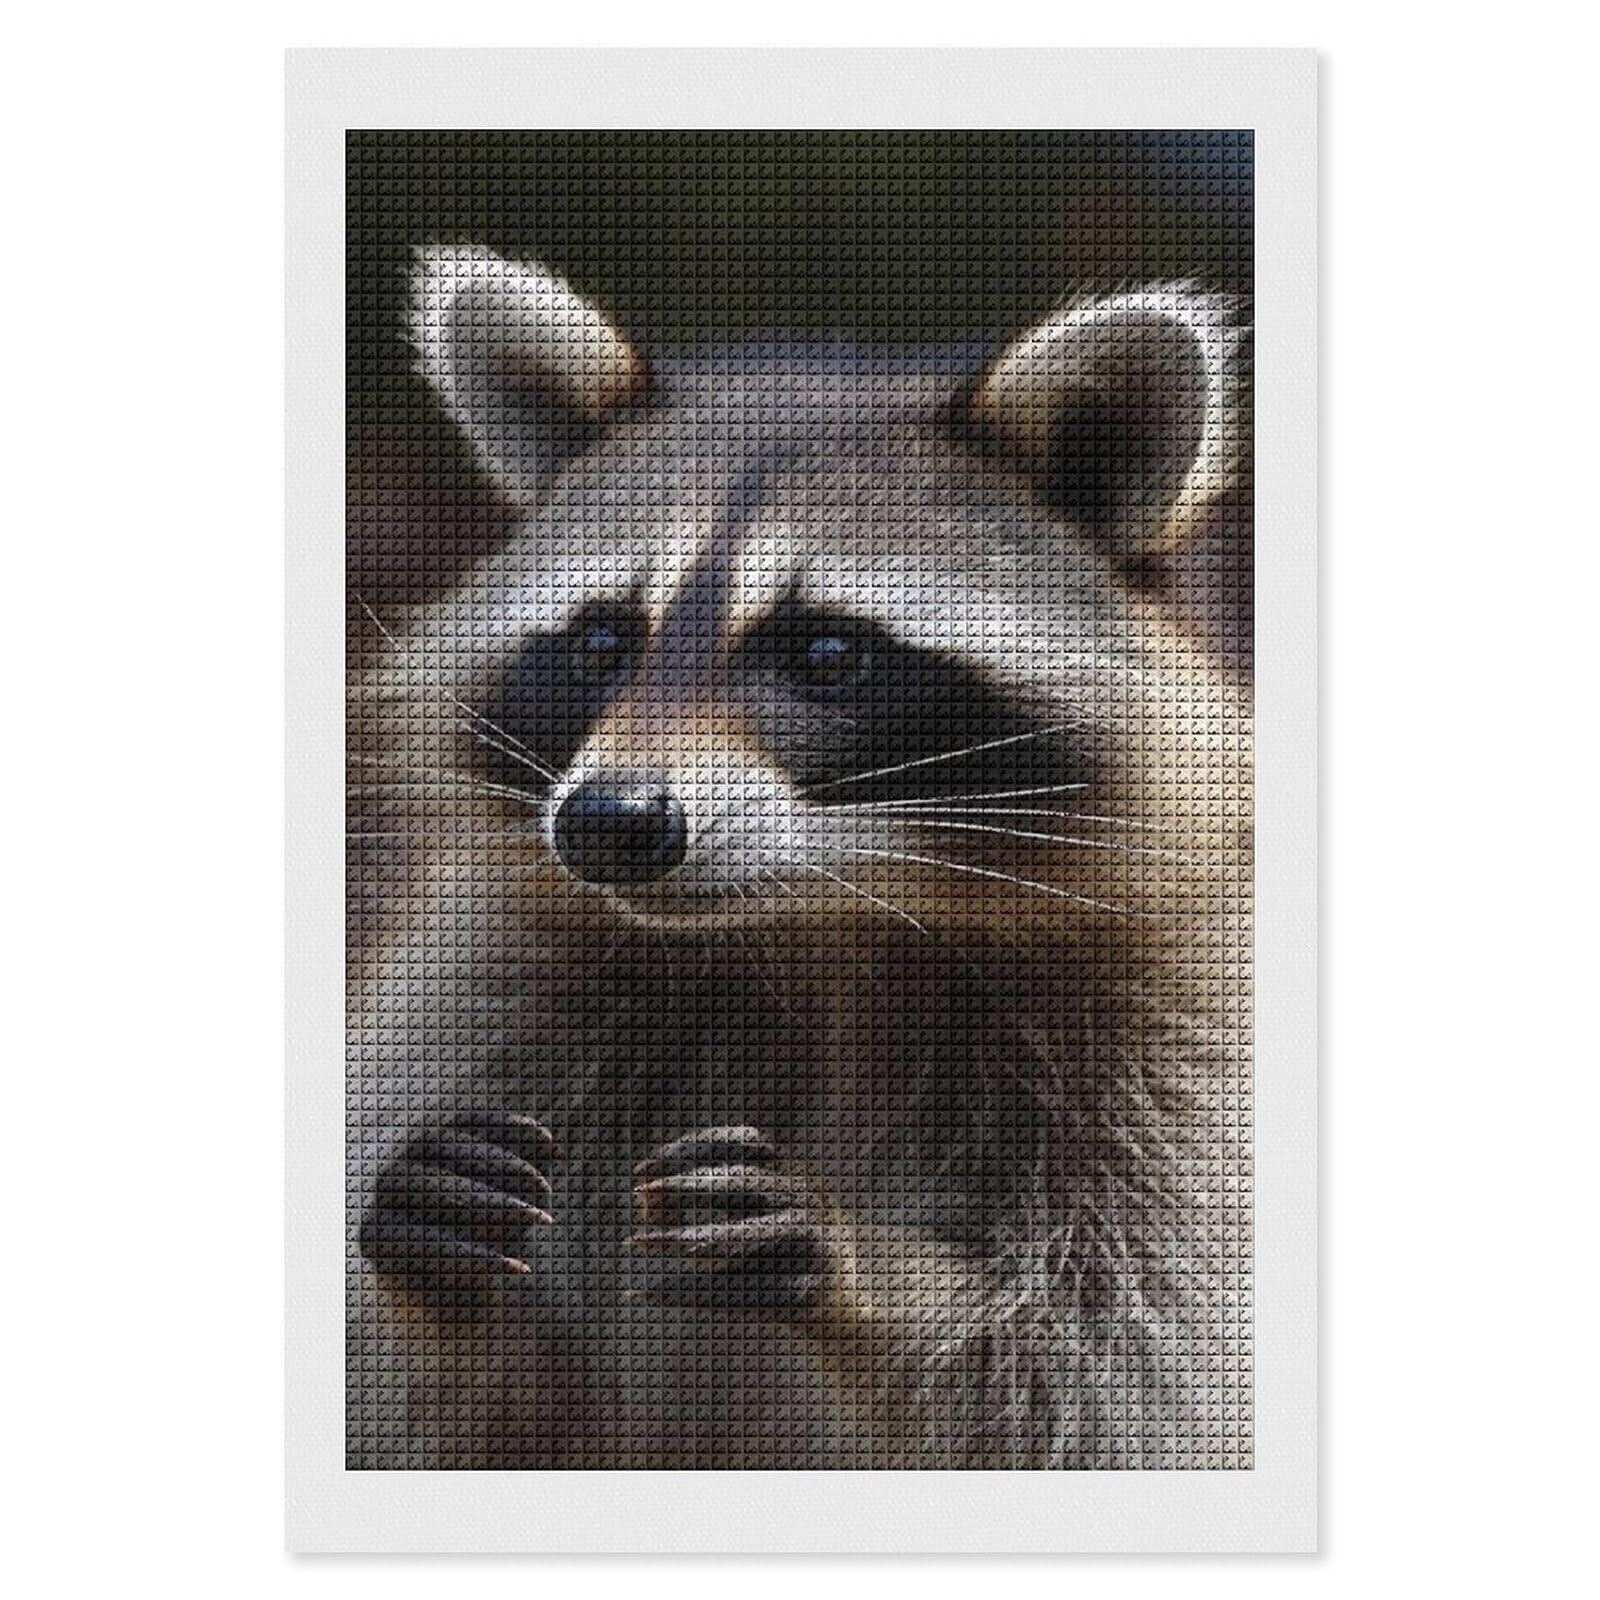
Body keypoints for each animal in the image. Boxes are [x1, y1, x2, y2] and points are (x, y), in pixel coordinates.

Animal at [348, 245, 1252, 1470]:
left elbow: (1111, 1376)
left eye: (825, 651)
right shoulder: (500, 992)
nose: (608, 822)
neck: (822, 924)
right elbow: (446, 1415)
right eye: (602, 640)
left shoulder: (1174, 1041)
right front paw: (441, 1298)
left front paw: (874, 1277)